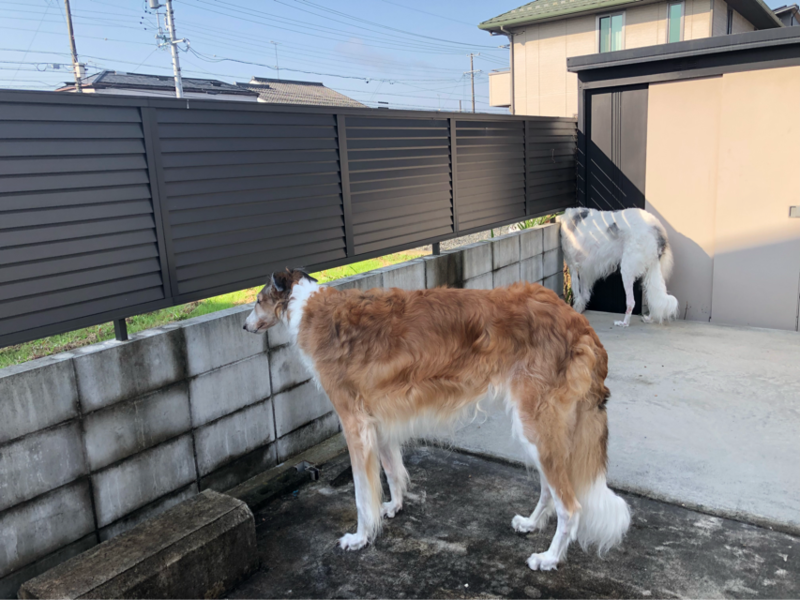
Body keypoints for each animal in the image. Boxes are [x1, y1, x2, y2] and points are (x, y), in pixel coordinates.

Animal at [244, 270, 630, 571]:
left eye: (258, 300)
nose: (244, 325)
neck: (310, 310)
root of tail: (577, 319)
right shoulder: (379, 423)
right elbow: (393, 472)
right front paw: (393, 507)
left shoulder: (354, 424)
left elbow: (361, 495)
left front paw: (360, 537)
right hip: (537, 431)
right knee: (551, 489)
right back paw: (531, 523)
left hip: (537, 425)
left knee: (571, 506)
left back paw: (549, 558)